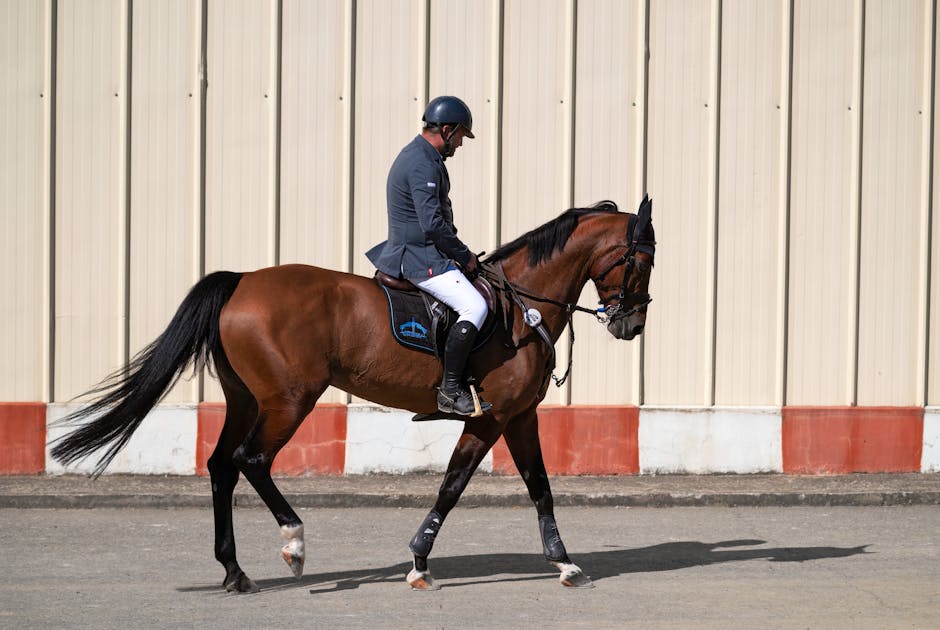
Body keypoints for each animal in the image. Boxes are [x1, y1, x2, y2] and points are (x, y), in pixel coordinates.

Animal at [51, 196, 656, 592]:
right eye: (643, 260)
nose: (632, 325)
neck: (521, 306)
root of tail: (243, 280)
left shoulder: (519, 416)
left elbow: (540, 489)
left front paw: (564, 564)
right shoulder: (490, 418)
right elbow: (452, 486)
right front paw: (418, 564)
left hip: (247, 399)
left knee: (222, 465)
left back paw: (236, 573)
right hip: (289, 400)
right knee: (252, 460)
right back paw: (293, 545)